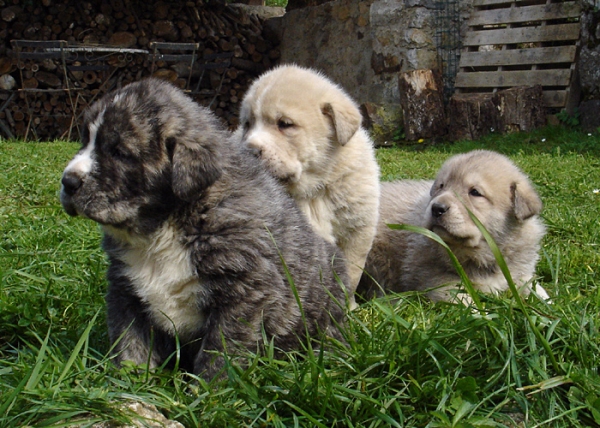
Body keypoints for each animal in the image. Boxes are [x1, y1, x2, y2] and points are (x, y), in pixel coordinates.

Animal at [60, 78, 346, 380]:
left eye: (119, 153)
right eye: (84, 141)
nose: (68, 181)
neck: (165, 227)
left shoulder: (243, 293)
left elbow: (220, 351)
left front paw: (208, 389)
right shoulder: (125, 289)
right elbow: (130, 340)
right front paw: (130, 380)